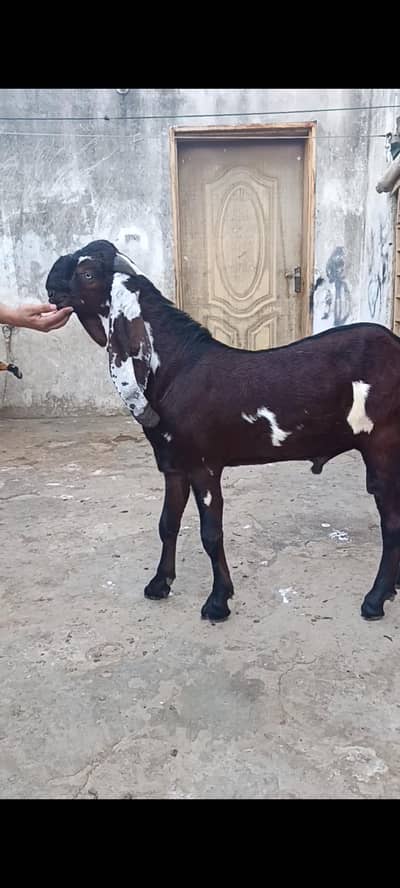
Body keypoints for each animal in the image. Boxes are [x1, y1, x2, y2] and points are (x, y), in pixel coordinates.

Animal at [46, 239, 400, 623]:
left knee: (392, 523)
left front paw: (217, 601)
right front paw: (159, 584)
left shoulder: (205, 466)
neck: (178, 367)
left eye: (87, 273)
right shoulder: (174, 466)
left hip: (383, 445)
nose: (49, 284)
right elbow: (167, 523)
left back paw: (375, 599)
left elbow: (210, 533)